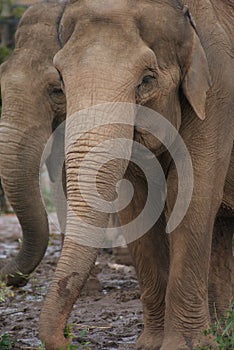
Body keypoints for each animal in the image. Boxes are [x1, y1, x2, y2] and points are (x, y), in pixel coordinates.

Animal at [35, 0, 233, 350]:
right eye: (61, 81)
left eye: (146, 80)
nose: (70, 338)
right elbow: (138, 203)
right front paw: (151, 345)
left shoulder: (218, 94)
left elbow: (192, 195)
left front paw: (186, 346)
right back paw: (223, 331)